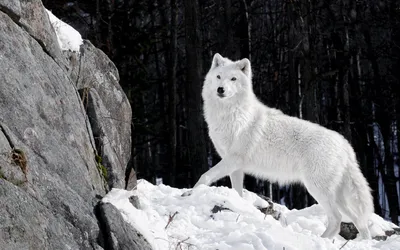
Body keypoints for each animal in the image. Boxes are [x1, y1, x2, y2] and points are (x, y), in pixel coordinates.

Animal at [195, 53, 374, 239]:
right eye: (218, 76)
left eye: (233, 79)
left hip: (317, 189)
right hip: (337, 196)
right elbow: (237, 191)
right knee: (358, 220)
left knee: (337, 219)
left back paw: (320, 240)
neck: (231, 115)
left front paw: (193, 192)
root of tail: (345, 144)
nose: (220, 89)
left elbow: (205, 176)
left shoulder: (233, 159)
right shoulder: (235, 167)